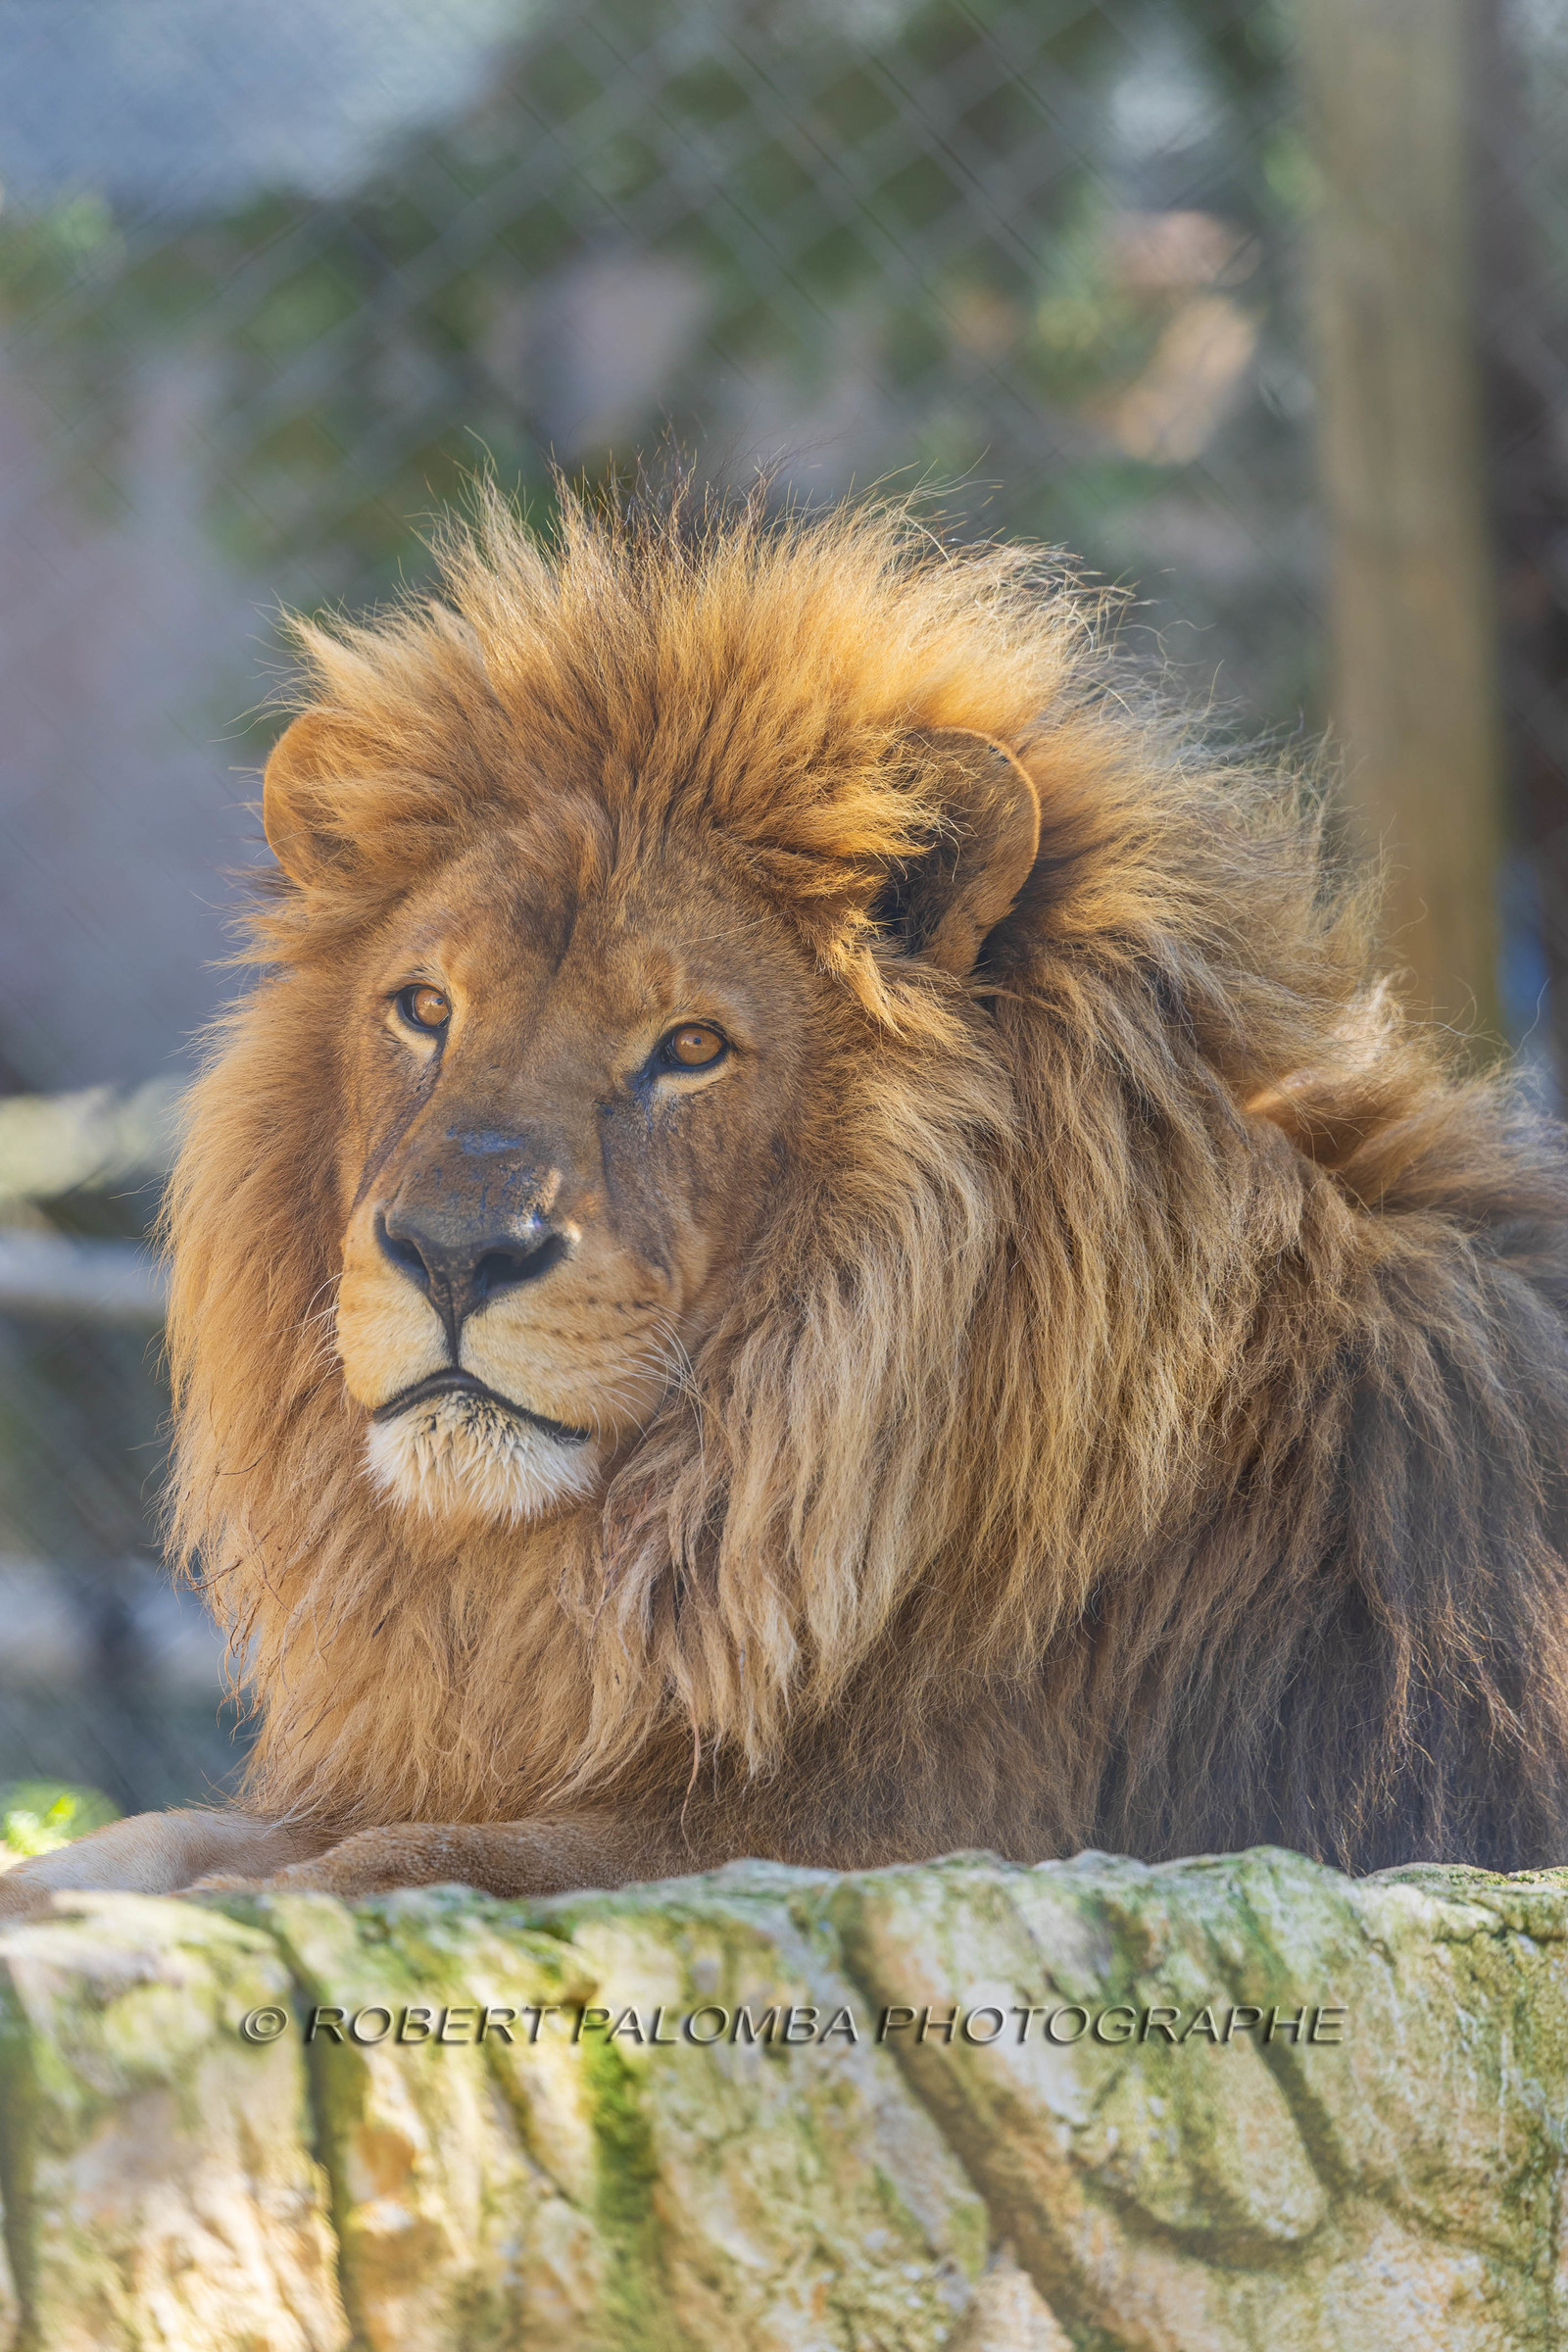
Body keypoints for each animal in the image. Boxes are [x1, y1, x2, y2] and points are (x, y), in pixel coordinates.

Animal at [8, 483, 1568, 1916]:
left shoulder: (955, 1828)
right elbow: (173, 1834)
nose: (452, 1254)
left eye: (691, 1047)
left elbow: (451, 1858)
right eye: (425, 1009)